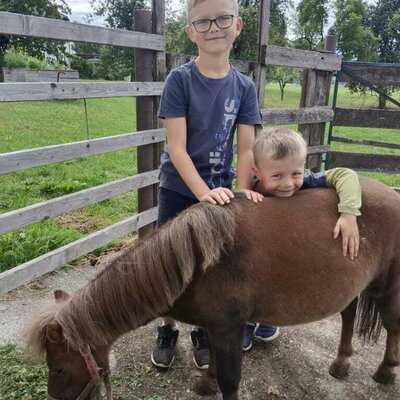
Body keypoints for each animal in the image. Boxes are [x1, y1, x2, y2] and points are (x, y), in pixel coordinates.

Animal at [23, 178, 398, 400]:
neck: (199, 260)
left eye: (58, 369)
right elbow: (214, 361)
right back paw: (341, 362)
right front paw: (207, 383)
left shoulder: (229, 327)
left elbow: (231, 381)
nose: (54, 399)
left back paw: (386, 371)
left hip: (387, 288)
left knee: (392, 326)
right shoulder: (216, 327)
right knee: (348, 316)